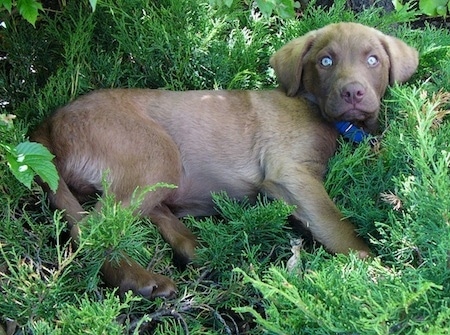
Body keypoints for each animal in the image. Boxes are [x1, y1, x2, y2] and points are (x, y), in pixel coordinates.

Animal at [31, 21, 418, 300]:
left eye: (373, 60)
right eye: (326, 61)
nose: (353, 93)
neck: (316, 108)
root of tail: (49, 123)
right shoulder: (291, 173)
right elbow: (339, 226)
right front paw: (382, 275)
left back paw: (198, 250)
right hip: (156, 154)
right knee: (89, 228)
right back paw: (137, 279)